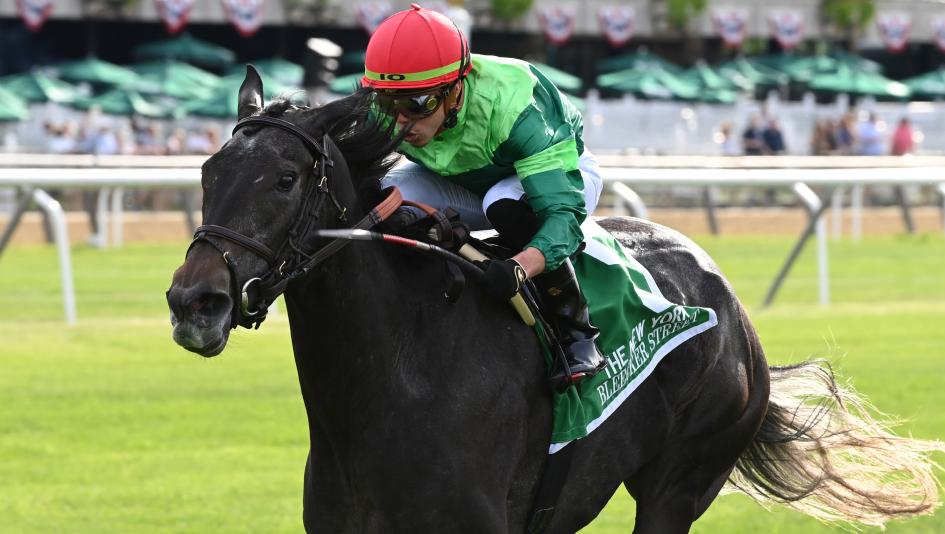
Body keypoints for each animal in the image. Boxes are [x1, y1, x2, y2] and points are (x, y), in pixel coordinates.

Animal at [166, 68, 940, 534]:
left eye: (286, 178)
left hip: (680, 482)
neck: (397, 375)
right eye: (206, 172)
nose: (193, 301)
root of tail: (733, 310)